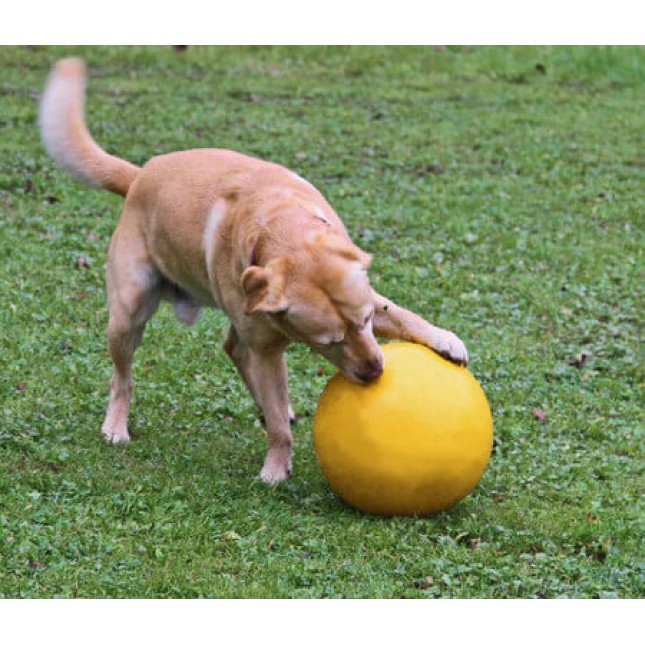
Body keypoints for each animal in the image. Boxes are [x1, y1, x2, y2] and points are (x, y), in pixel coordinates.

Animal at [39, 57, 468, 484]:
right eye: (328, 342)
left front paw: (444, 340)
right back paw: (117, 424)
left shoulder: (362, 296)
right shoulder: (266, 350)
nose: (376, 372)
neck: (280, 227)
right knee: (124, 377)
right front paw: (276, 467)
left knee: (232, 348)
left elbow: (405, 315)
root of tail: (141, 174)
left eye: (365, 322)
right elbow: (277, 427)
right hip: (129, 312)